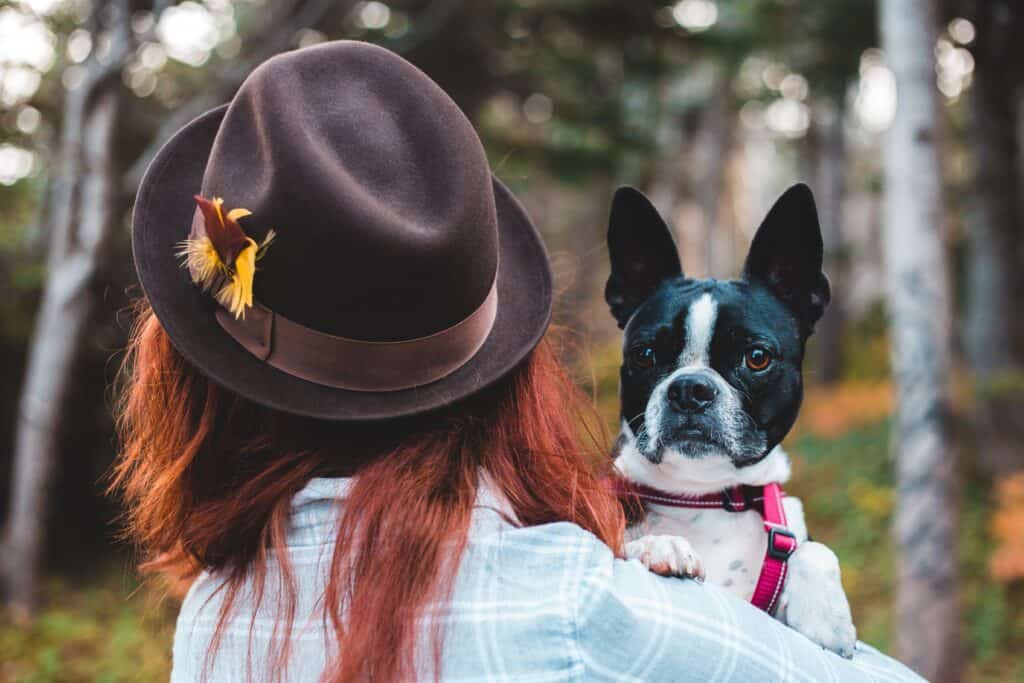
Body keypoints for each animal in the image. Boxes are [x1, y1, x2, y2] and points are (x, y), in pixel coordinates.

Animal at [602, 181, 860, 655]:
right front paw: (661, 545)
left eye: (756, 357)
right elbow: (623, 540)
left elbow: (814, 550)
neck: (704, 496)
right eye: (644, 355)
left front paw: (825, 616)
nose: (690, 389)